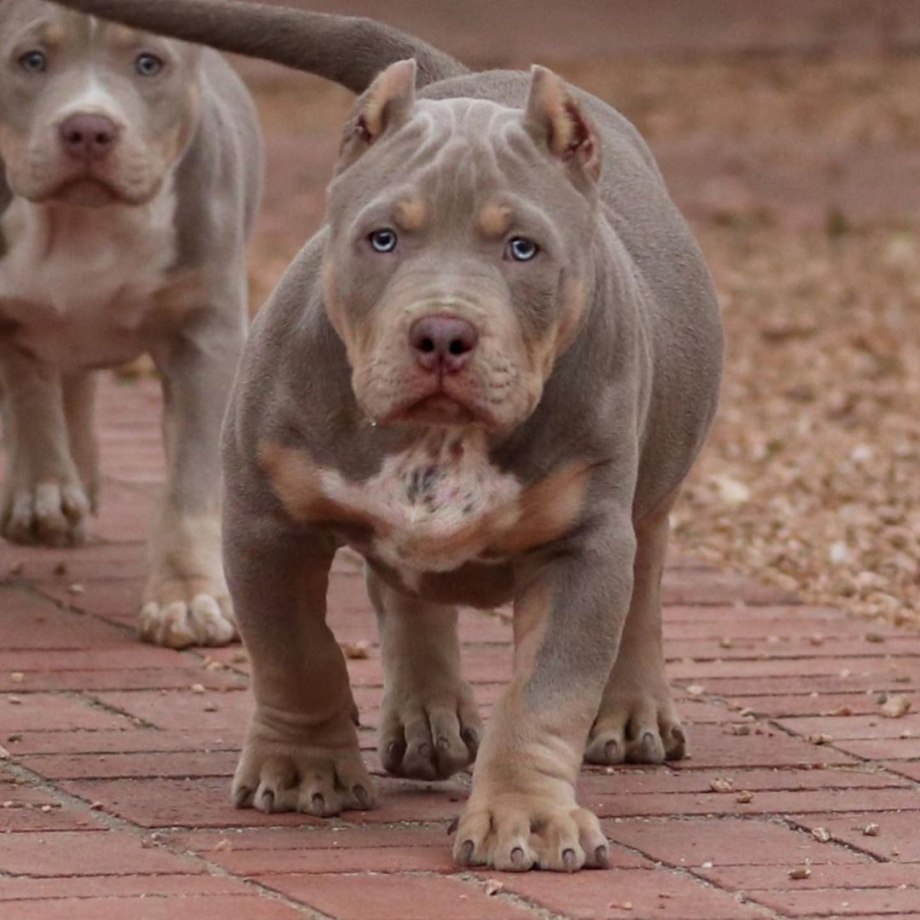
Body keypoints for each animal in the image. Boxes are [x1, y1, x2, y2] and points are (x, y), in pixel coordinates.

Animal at [46, 0, 724, 872]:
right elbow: (297, 652)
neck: (437, 439)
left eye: (523, 248)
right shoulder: (266, 521)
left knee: (644, 583)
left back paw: (632, 712)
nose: (442, 334)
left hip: (654, 485)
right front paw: (303, 768)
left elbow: (545, 696)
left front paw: (527, 815)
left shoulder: (583, 547)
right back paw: (427, 717)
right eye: (382, 238)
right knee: (405, 594)